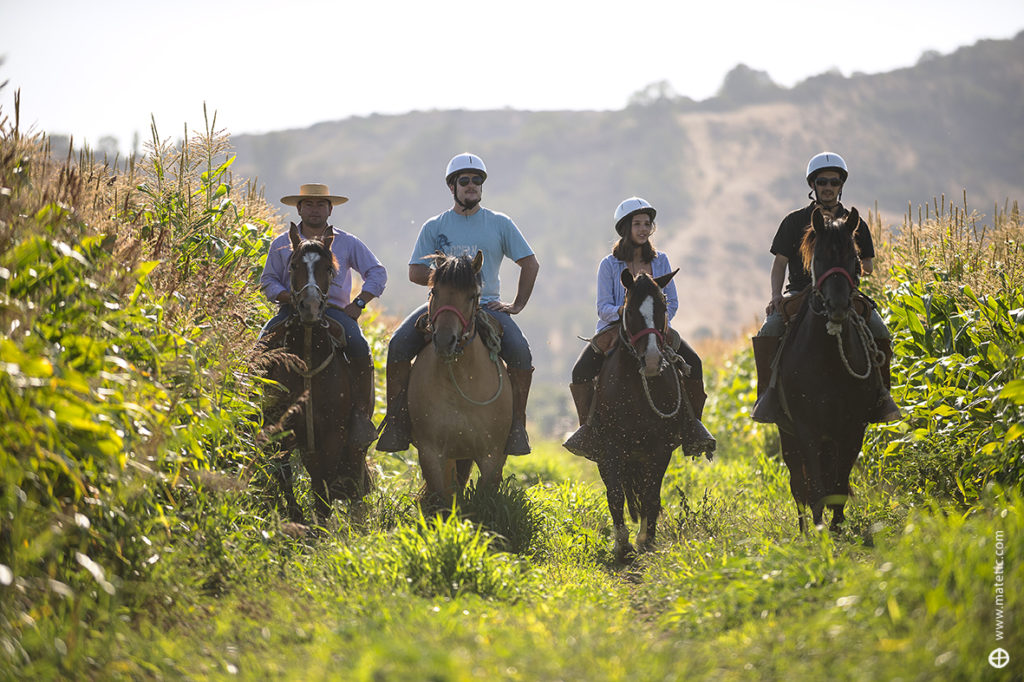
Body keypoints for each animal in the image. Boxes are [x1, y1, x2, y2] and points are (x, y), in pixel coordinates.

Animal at [260, 223, 372, 520]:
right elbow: (286, 473)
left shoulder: (334, 432)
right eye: (294, 265)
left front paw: (321, 519)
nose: (310, 307)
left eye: (329, 268)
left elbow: (323, 480)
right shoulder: (282, 429)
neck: (309, 356)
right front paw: (298, 516)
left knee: (355, 461)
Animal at [405, 251, 512, 507]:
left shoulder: (492, 456)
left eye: (472, 295)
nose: (445, 340)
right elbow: (442, 500)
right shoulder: (431, 453)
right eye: (435, 291)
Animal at [585, 268, 696, 561]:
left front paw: (647, 539)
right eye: (632, 310)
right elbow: (615, 495)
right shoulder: (610, 447)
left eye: (663, 308)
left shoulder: (660, 448)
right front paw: (622, 545)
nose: (653, 361)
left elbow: (651, 496)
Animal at [770, 206, 884, 532]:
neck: (828, 359)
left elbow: (839, 480)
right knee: (798, 481)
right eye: (818, 258)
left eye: (854, 258)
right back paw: (804, 529)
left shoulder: (853, 426)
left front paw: (836, 524)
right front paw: (820, 527)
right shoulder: (806, 427)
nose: (837, 306)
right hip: (788, 434)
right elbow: (815, 485)